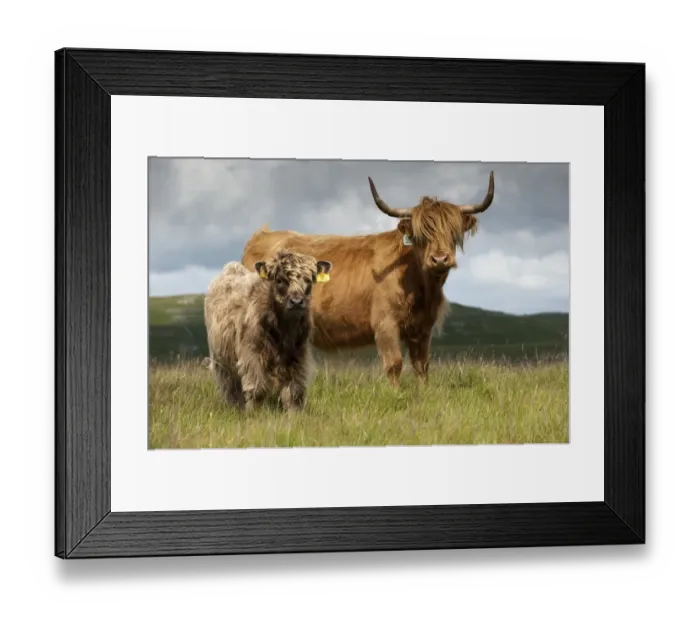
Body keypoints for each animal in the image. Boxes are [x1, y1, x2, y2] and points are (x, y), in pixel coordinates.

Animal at [203, 249, 333, 412]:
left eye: (309, 280)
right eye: (279, 280)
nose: (297, 302)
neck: (285, 330)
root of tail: (231, 267)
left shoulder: (298, 356)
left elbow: (295, 391)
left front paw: (295, 413)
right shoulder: (252, 354)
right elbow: (257, 388)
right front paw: (254, 412)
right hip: (221, 359)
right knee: (230, 386)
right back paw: (235, 407)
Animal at [241, 171, 495, 387]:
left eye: (453, 232)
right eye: (421, 235)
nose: (440, 259)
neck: (421, 287)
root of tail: (260, 236)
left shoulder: (423, 329)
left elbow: (422, 366)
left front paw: (424, 393)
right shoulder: (385, 324)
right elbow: (394, 364)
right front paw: (396, 395)